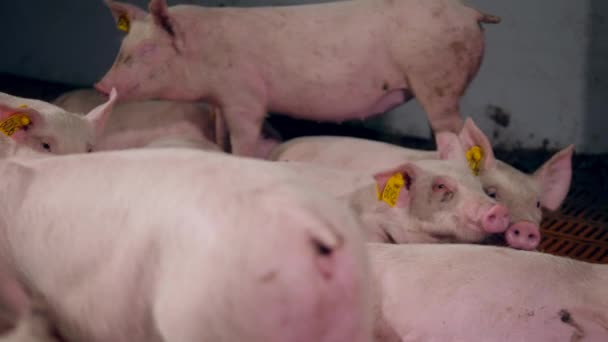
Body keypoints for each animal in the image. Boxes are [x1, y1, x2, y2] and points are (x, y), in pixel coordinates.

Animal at [95, 0, 502, 158]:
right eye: (123, 45)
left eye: (149, 49)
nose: (100, 84)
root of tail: (471, 12)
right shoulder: (220, 100)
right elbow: (220, 133)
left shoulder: (245, 95)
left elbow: (244, 137)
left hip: (437, 79)